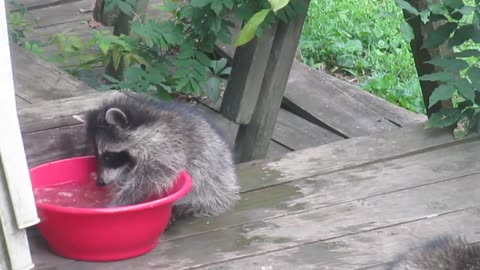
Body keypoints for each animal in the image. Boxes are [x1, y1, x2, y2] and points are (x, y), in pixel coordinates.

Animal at [85, 92, 240, 220]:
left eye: (108, 156)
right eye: (97, 155)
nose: (100, 182)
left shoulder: (166, 147)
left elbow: (149, 179)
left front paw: (119, 202)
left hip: (215, 179)